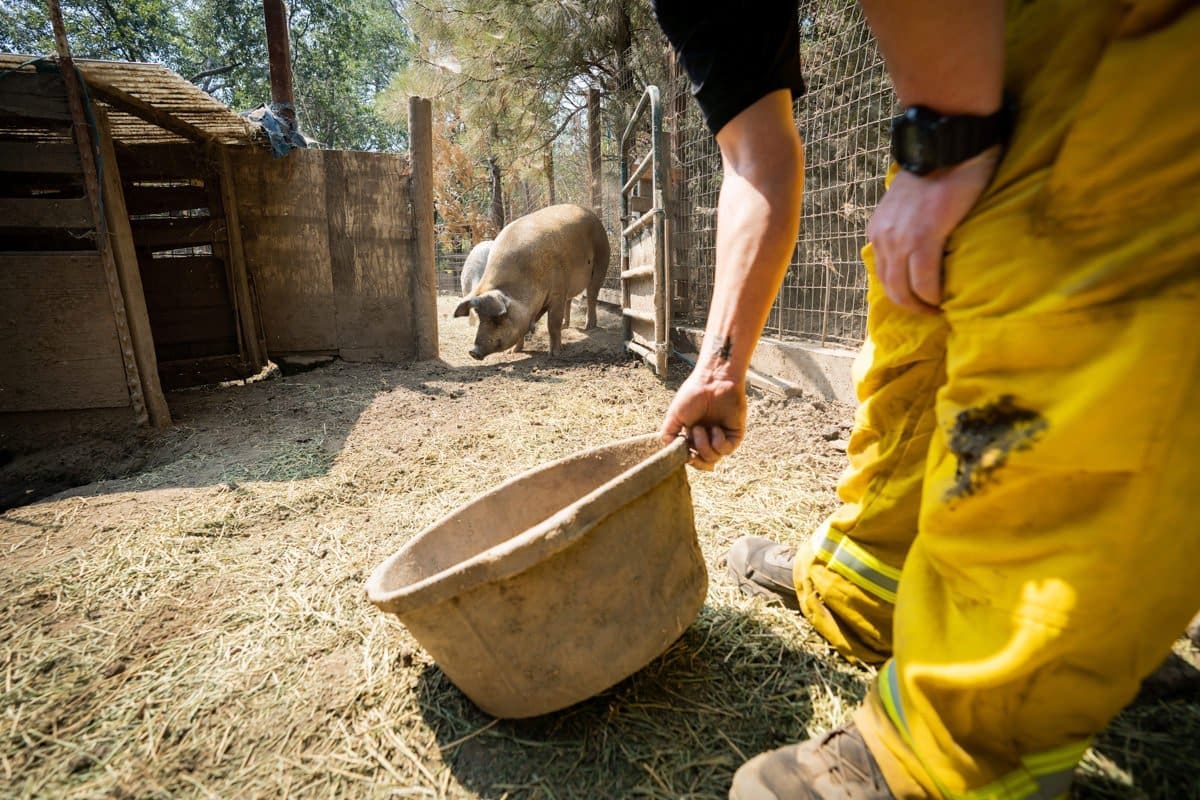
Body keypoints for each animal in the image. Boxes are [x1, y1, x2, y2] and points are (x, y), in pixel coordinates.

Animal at [451, 203, 609, 359]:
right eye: (480, 317)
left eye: (498, 320)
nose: (473, 352)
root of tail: (592, 214)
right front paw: (512, 352)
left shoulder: (558, 291)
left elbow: (553, 324)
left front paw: (554, 354)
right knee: (570, 300)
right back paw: (566, 325)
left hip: (602, 258)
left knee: (592, 295)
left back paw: (589, 326)